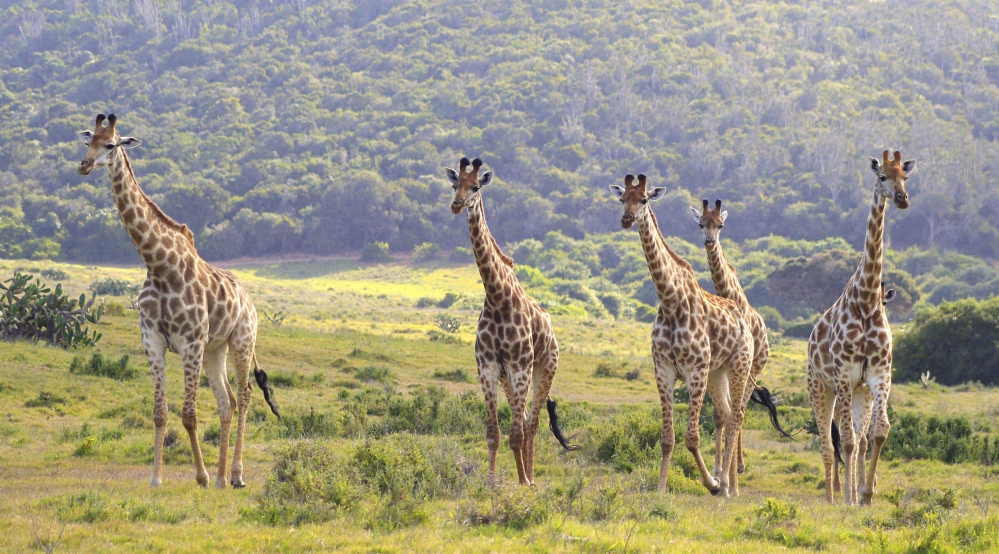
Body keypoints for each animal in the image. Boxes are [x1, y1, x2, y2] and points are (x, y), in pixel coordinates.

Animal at [76, 113, 280, 488]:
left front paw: (200, 476)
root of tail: (249, 299)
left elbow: (189, 414)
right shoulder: (152, 341)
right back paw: (221, 478)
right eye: (87, 141)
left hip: (242, 341)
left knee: (244, 395)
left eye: (110, 144)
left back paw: (236, 475)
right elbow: (160, 413)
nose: (83, 166)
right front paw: (157, 480)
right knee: (227, 401)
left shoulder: (190, 342)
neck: (158, 264)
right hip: (216, 349)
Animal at [446, 155, 580, 484]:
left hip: (544, 369)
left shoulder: (520, 366)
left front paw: (523, 483)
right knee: (523, 423)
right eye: (455, 185)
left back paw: (530, 479)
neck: (497, 296)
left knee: (531, 425)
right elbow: (494, 434)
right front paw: (491, 481)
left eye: (476, 186)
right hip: (510, 377)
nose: (457, 205)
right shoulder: (488, 367)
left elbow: (516, 433)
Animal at [604, 174, 752, 496]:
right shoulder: (663, 370)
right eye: (622, 199)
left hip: (739, 364)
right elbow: (667, 438)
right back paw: (727, 485)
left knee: (736, 415)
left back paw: (729, 486)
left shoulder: (695, 371)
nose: (626, 219)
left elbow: (692, 437)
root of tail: (744, 318)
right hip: (717, 371)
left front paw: (710, 482)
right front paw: (661, 489)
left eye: (643, 199)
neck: (671, 301)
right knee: (726, 412)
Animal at [696, 196, 796, 472]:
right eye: (700, 224)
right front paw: (721, 466)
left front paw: (731, 466)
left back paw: (739, 464)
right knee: (735, 408)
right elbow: (722, 413)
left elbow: (734, 411)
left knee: (740, 407)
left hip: (755, 367)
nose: (709, 242)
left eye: (720, 225)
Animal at [808, 149, 916, 502]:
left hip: (859, 392)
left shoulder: (880, 373)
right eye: (882, 176)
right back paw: (832, 497)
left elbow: (879, 433)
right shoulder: (843, 375)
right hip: (820, 388)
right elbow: (847, 441)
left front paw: (866, 495)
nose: (902, 199)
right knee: (830, 444)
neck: (868, 300)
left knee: (856, 441)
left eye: (904, 176)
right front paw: (849, 499)